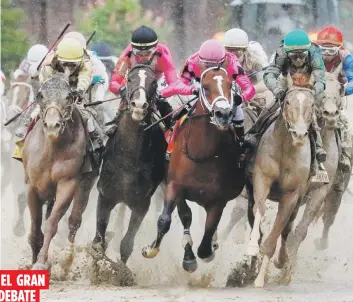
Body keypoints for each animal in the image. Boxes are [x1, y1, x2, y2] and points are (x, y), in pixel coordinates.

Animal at [22, 73, 97, 272]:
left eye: (68, 97)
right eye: (41, 96)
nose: (52, 126)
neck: (52, 150)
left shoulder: (67, 182)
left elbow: (51, 223)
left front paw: (41, 262)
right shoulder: (32, 185)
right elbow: (35, 227)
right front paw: (34, 260)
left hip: (85, 186)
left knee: (75, 219)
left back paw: (66, 259)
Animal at [140, 66, 245, 272]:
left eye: (230, 85)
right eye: (204, 86)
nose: (223, 114)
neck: (203, 154)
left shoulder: (218, 200)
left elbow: (206, 240)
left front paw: (207, 250)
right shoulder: (175, 185)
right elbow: (168, 219)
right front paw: (151, 249)